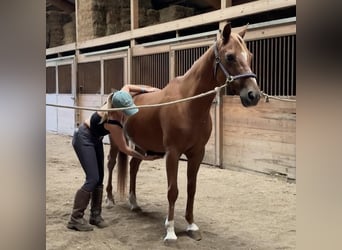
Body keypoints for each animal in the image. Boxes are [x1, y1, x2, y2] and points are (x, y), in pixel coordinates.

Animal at [105, 22, 260, 241]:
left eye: (250, 56)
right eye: (230, 56)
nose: (253, 95)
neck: (188, 104)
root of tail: (118, 93)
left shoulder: (197, 153)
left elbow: (191, 188)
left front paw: (191, 225)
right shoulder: (173, 153)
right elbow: (173, 190)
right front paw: (170, 231)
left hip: (141, 145)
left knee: (134, 167)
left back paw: (134, 203)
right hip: (114, 141)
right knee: (110, 164)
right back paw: (110, 199)